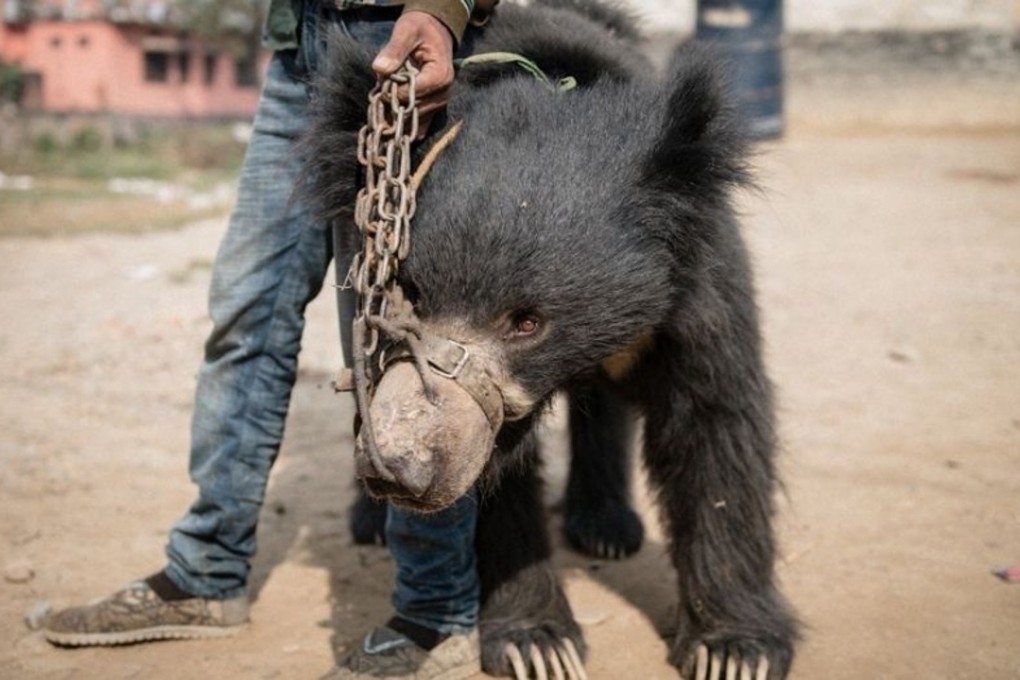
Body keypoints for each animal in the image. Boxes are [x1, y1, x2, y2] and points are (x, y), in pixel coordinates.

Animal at [304, 1, 799, 678]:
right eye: (413, 296)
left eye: (527, 323)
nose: (402, 470)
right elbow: (494, 478)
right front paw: (538, 644)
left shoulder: (694, 283)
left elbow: (714, 420)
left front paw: (732, 651)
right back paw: (372, 524)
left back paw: (606, 526)